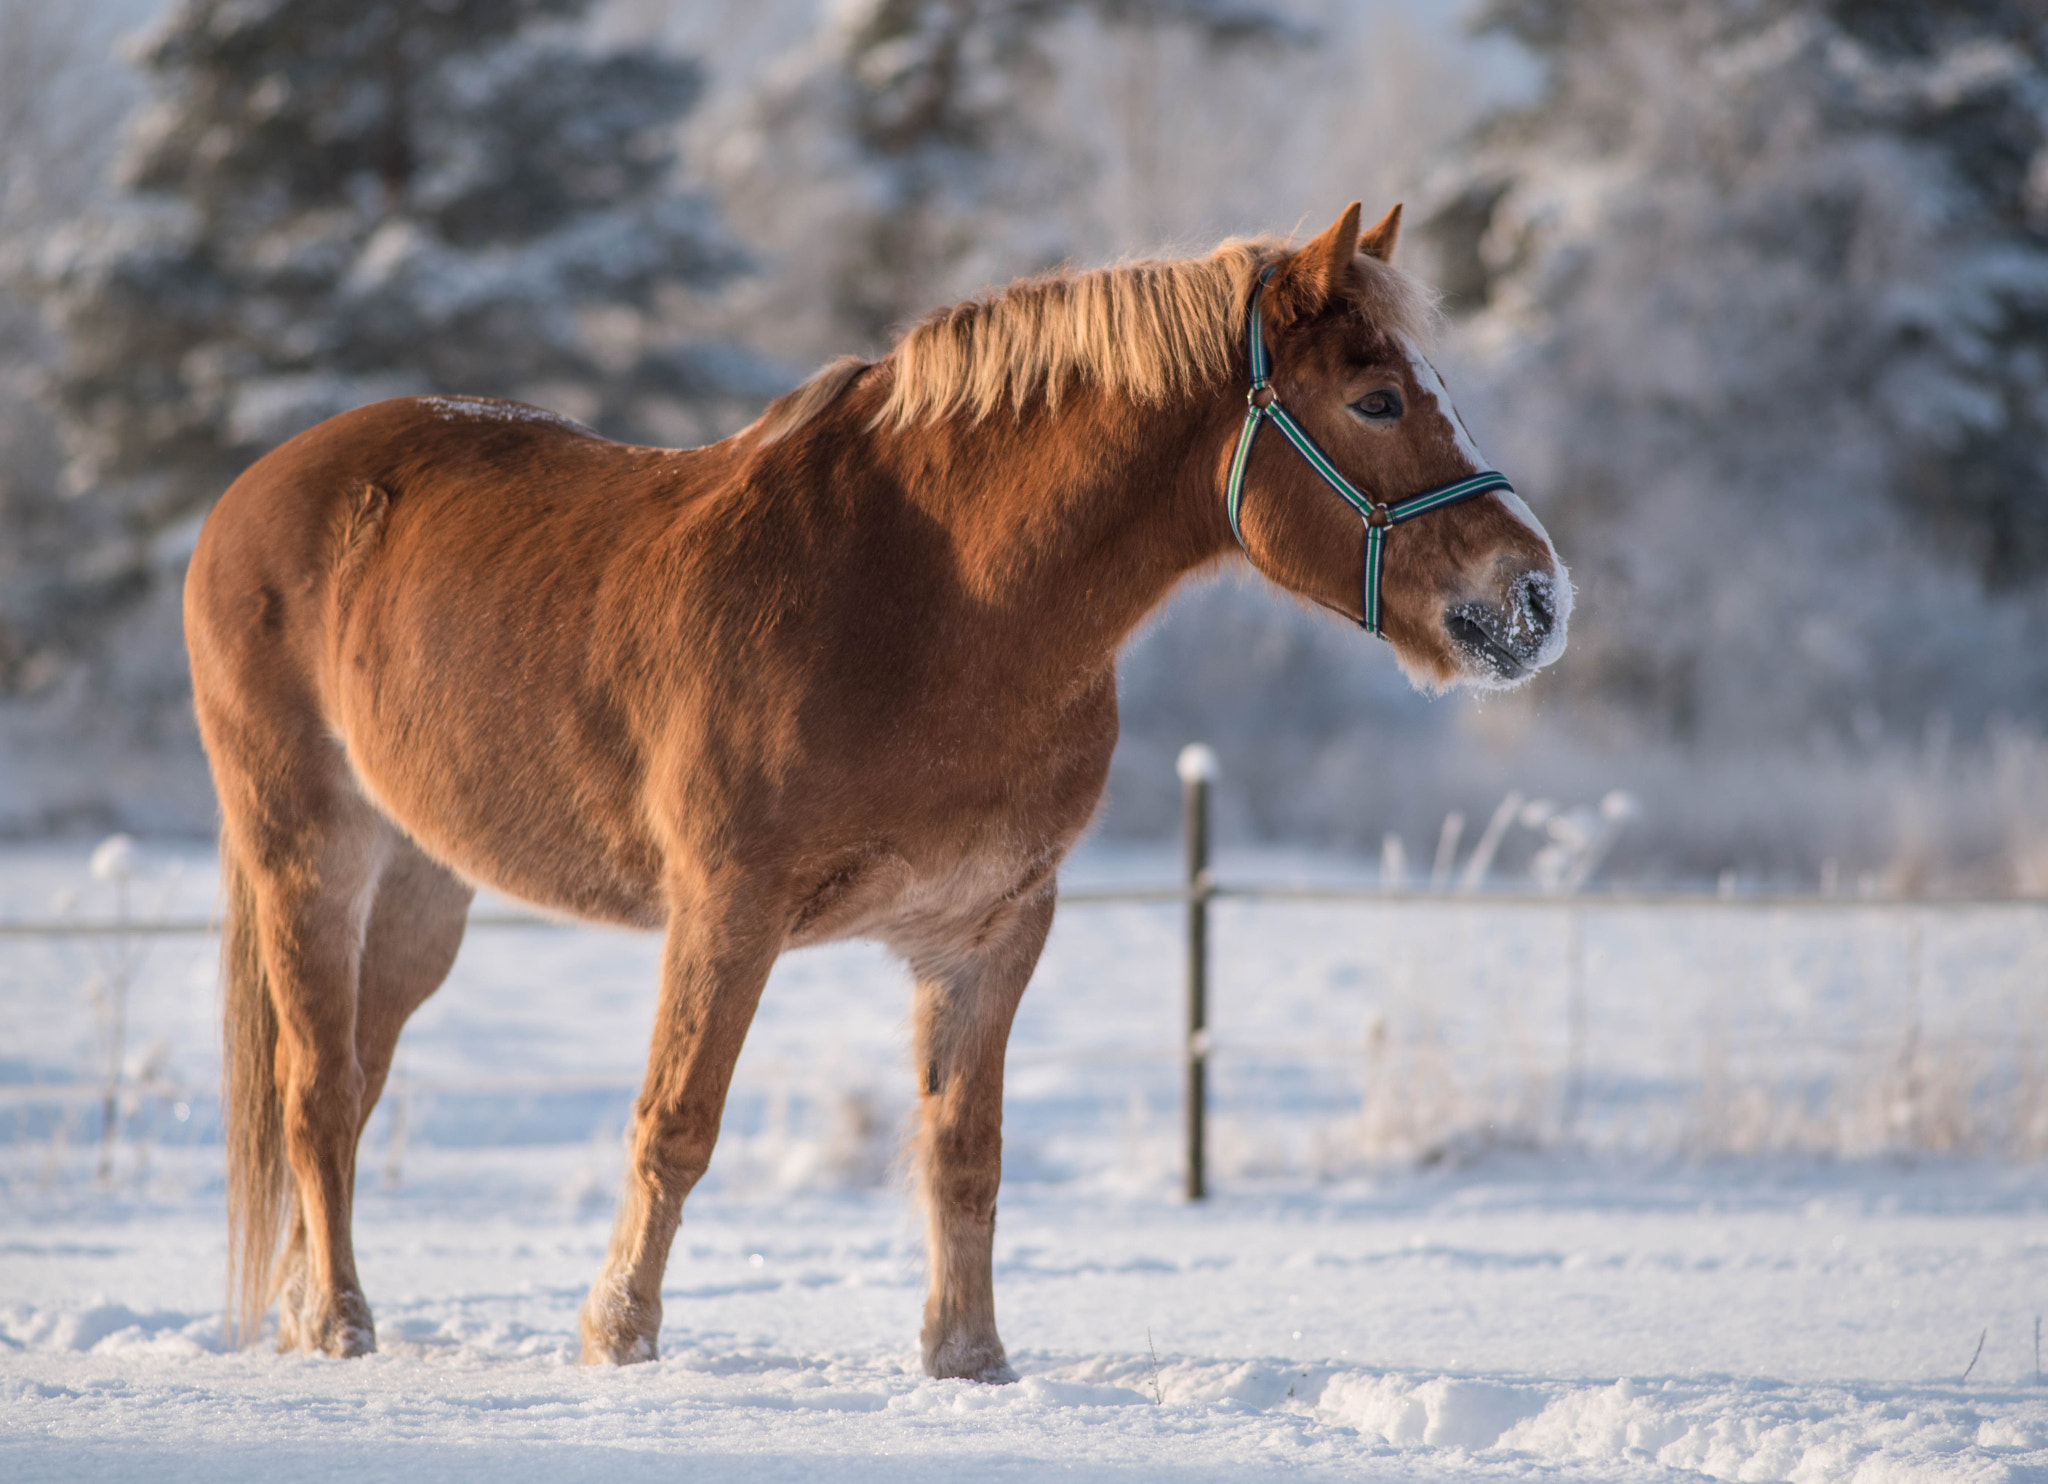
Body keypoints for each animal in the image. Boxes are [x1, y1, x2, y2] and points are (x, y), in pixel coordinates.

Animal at [188, 202, 1564, 1383]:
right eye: (1375, 396)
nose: (1533, 598)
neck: (933, 595)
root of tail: (257, 490)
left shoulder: (991, 930)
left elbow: (963, 1152)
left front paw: (968, 1360)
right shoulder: (725, 910)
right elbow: (675, 1122)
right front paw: (618, 1340)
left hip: (425, 888)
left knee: (354, 1077)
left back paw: (315, 1307)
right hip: (311, 851)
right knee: (315, 1091)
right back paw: (337, 1323)